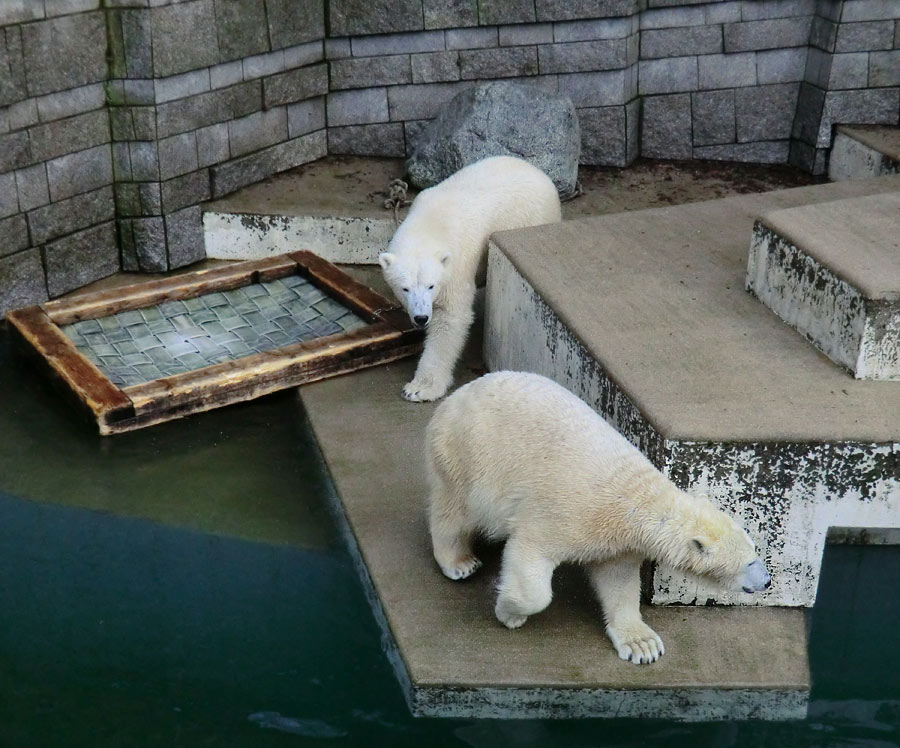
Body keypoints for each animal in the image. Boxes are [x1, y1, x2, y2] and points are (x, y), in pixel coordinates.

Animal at [376, 156, 560, 404]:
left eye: (431, 286)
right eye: (405, 288)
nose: (421, 318)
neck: (430, 223)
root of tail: (540, 174)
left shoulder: (457, 263)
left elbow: (450, 318)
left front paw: (419, 389)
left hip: (531, 218)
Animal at [426, 372, 768, 664]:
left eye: (755, 550)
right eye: (749, 561)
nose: (766, 580)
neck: (634, 500)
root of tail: (460, 392)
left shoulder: (620, 543)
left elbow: (619, 582)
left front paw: (642, 645)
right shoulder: (565, 514)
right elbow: (530, 559)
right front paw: (509, 612)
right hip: (466, 455)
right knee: (453, 510)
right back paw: (459, 562)